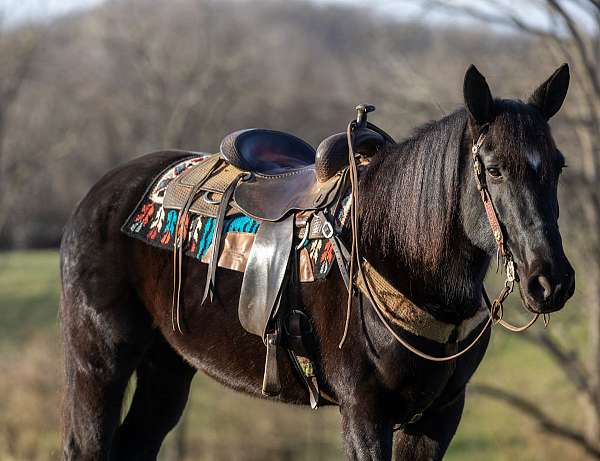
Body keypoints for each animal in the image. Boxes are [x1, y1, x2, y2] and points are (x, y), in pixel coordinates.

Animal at [61, 65, 576, 460]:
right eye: (495, 169)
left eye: (558, 165)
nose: (551, 282)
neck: (399, 252)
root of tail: (97, 196)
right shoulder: (364, 414)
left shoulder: (439, 415)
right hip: (99, 364)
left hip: (167, 367)